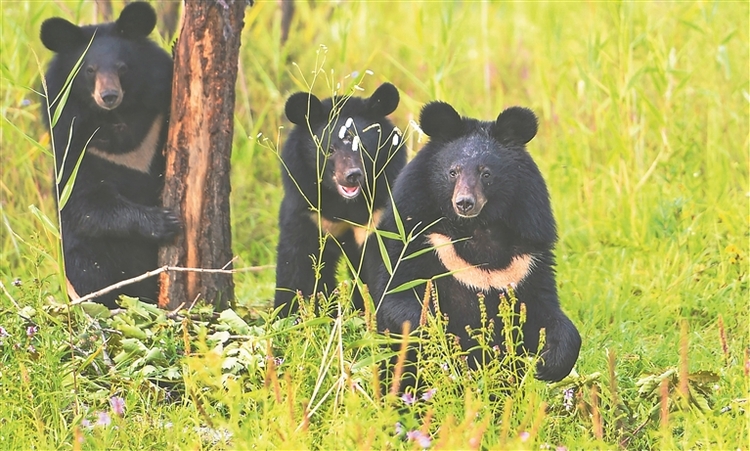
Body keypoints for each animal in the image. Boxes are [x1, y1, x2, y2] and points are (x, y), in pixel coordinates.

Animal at [41, 2, 181, 308]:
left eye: (122, 68)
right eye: (89, 70)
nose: (108, 96)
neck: (117, 119)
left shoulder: (155, 122)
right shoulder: (74, 145)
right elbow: (87, 203)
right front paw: (165, 221)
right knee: (90, 270)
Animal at [274, 84, 406, 318]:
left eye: (363, 147)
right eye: (330, 149)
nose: (352, 175)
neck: (344, 204)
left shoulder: (378, 212)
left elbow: (384, 261)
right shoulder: (308, 209)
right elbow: (295, 262)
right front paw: (286, 315)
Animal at [374, 100, 580, 384]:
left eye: (486, 174)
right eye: (453, 172)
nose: (464, 203)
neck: (476, 228)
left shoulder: (528, 257)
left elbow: (542, 310)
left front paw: (550, 364)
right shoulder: (415, 236)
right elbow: (399, 296)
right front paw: (438, 334)